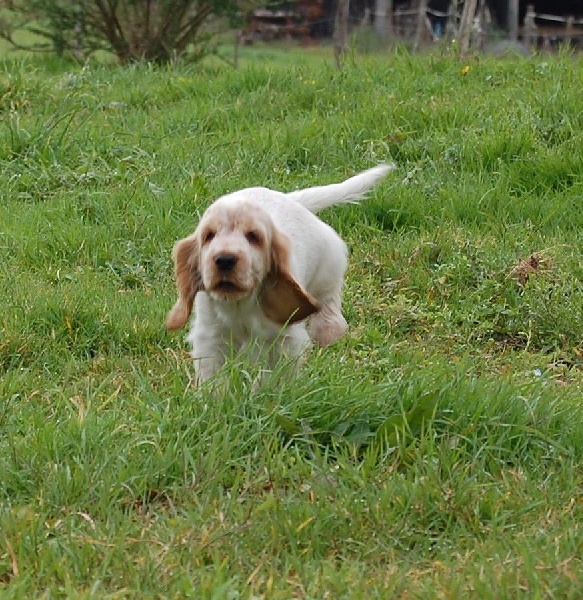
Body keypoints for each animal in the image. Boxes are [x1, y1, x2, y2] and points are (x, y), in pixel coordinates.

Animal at [166, 164, 394, 384]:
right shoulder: (211, 339)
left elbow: (271, 378)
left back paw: (328, 332)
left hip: (328, 266)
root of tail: (291, 199)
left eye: (254, 237)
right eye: (209, 236)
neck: (240, 305)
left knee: (328, 301)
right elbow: (214, 380)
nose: (224, 259)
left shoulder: (284, 340)